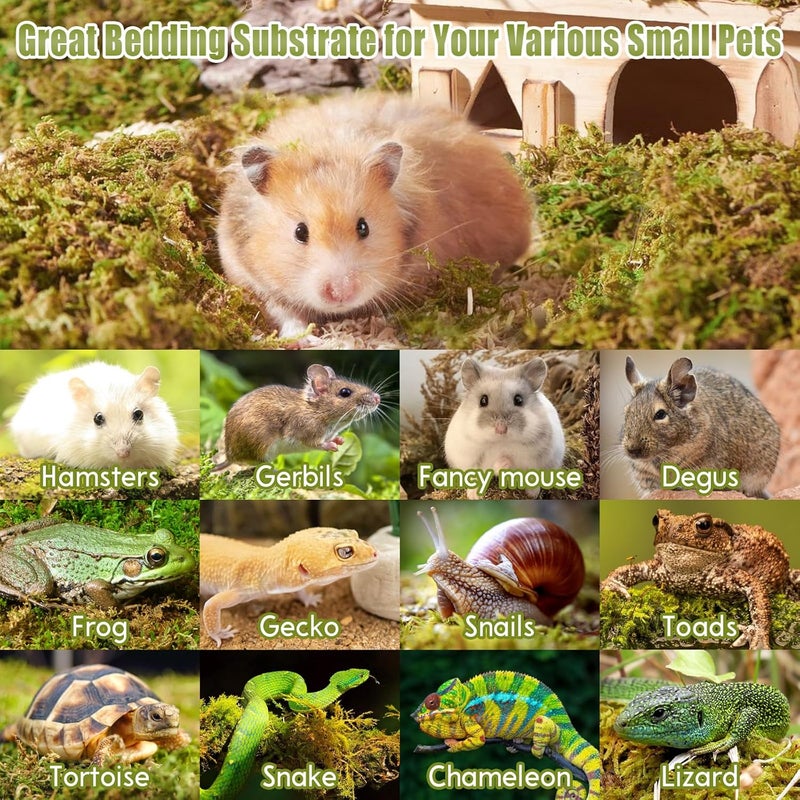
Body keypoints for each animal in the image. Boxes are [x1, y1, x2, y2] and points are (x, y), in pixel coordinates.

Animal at [214, 363, 381, 469]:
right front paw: (331, 446)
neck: (316, 411)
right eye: (345, 392)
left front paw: (339, 440)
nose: (378, 398)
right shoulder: (307, 434)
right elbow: (318, 444)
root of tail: (230, 457)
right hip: (262, 445)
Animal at [217, 93, 533, 338]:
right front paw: (304, 339)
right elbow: (285, 314)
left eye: (363, 227)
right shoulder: (251, 278)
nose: (342, 293)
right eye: (300, 232)